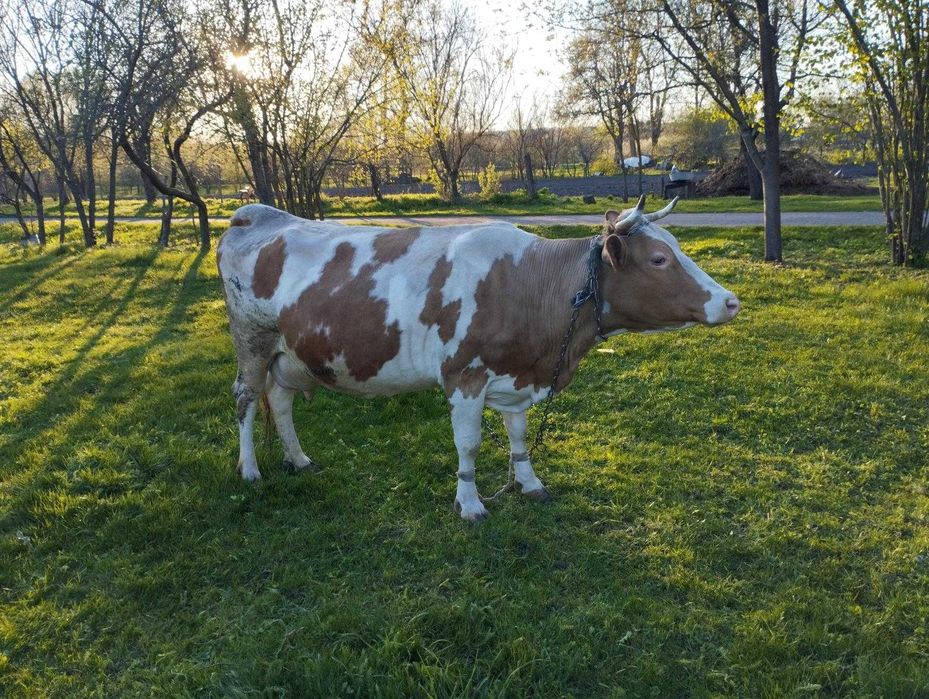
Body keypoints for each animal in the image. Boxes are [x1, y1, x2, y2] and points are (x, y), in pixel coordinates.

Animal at [216, 196, 740, 521]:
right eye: (659, 259)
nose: (731, 301)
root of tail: (255, 214)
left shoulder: (517, 378)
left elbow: (519, 439)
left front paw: (528, 483)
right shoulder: (463, 376)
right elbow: (467, 446)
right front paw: (469, 504)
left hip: (287, 351)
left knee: (280, 402)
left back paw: (299, 459)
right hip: (251, 338)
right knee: (246, 399)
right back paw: (250, 469)